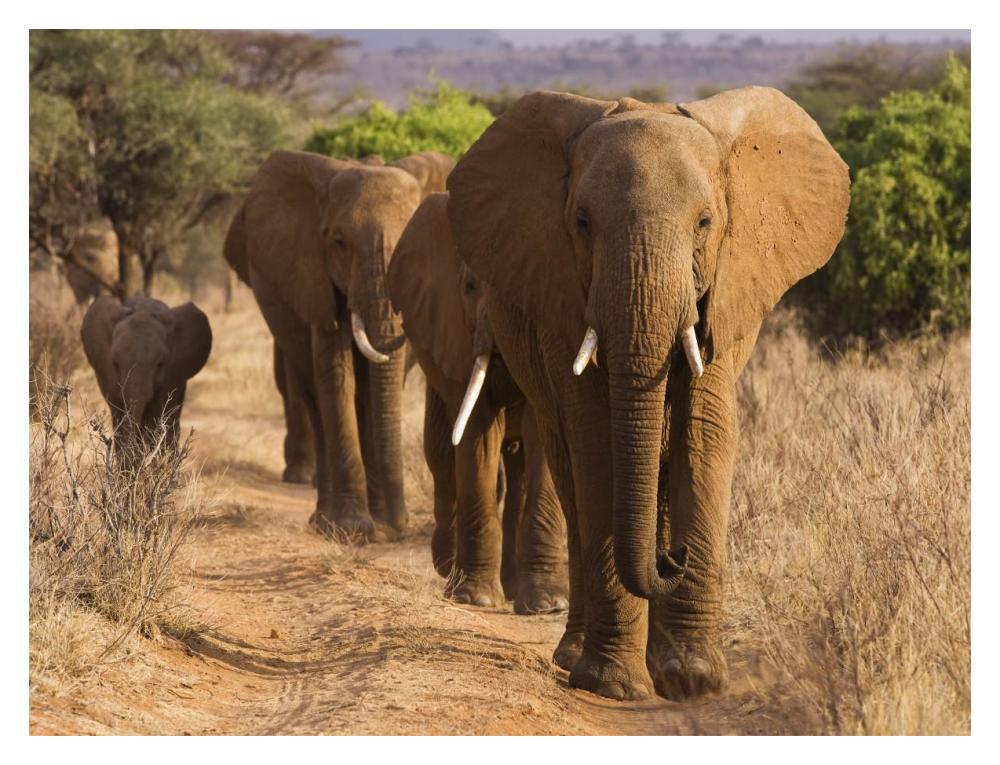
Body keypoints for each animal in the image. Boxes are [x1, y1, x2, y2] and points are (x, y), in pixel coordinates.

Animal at [81, 293, 212, 449]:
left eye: (160, 364)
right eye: (115, 364)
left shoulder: (172, 373)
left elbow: (158, 414)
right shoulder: (107, 376)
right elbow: (118, 411)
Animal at [225, 149, 454, 540]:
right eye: (339, 243)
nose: (401, 526)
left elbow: (379, 385)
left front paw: (380, 528)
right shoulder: (315, 279)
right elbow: (336, 378)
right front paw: (352, 530)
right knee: (315, 398)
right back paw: (323, 520)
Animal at [387, 192, 568, 612]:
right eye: (470, 287)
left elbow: (540, 435)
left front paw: (549, 605)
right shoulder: (453, 329)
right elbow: (476, 436)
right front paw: (476, 599)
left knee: (517, 472)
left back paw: (513, 588)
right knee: (441, 455)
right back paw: (447, 566)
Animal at [446, 87, 849, 701]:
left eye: (705, 222)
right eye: (581, 223)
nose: (674, 557)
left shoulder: (726, 292)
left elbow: (705, 435)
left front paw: (691, 681)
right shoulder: (562, 296)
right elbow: (596, 442)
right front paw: (614, 686)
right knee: (569, 472)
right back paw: (575, 657)